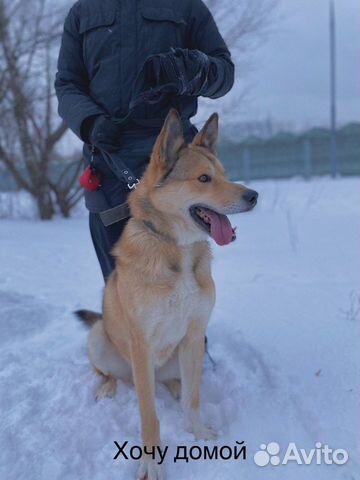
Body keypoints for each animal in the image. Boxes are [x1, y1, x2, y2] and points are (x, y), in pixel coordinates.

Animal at [76, 109, 258, 480]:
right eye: (204, 178)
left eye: (224, 174)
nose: (253, 196)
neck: (177, 249)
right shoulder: (142, 344)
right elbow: (149, 415)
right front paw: (150, 462)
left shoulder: (194, 334)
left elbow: (194, 398)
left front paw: (198, 432)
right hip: (101, 338)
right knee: (111, 374)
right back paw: (108, 388)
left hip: (188, 352)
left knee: (179, 384)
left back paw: (174, 388)